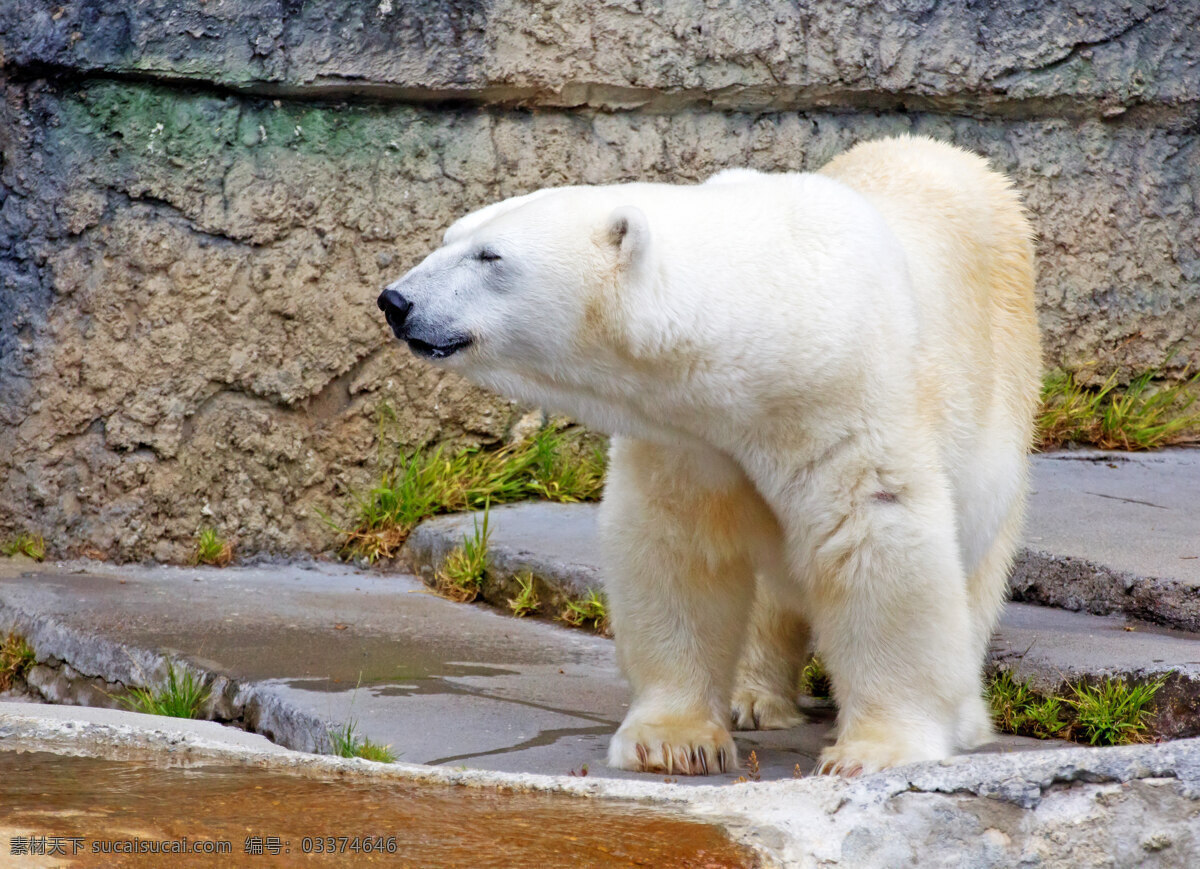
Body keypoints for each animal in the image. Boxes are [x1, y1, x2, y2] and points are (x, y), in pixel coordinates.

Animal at [376, 137, 1041, 782]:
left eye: (490, 257)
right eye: (450, 238)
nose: (394, 301)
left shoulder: (850, 398)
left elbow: (875, 535)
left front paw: (877, 750)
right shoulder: (690, 436)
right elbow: (679, 549)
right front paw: (673, 742)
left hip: (1003, 394)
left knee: (976, 559)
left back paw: (965, 717)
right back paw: (753, 698)